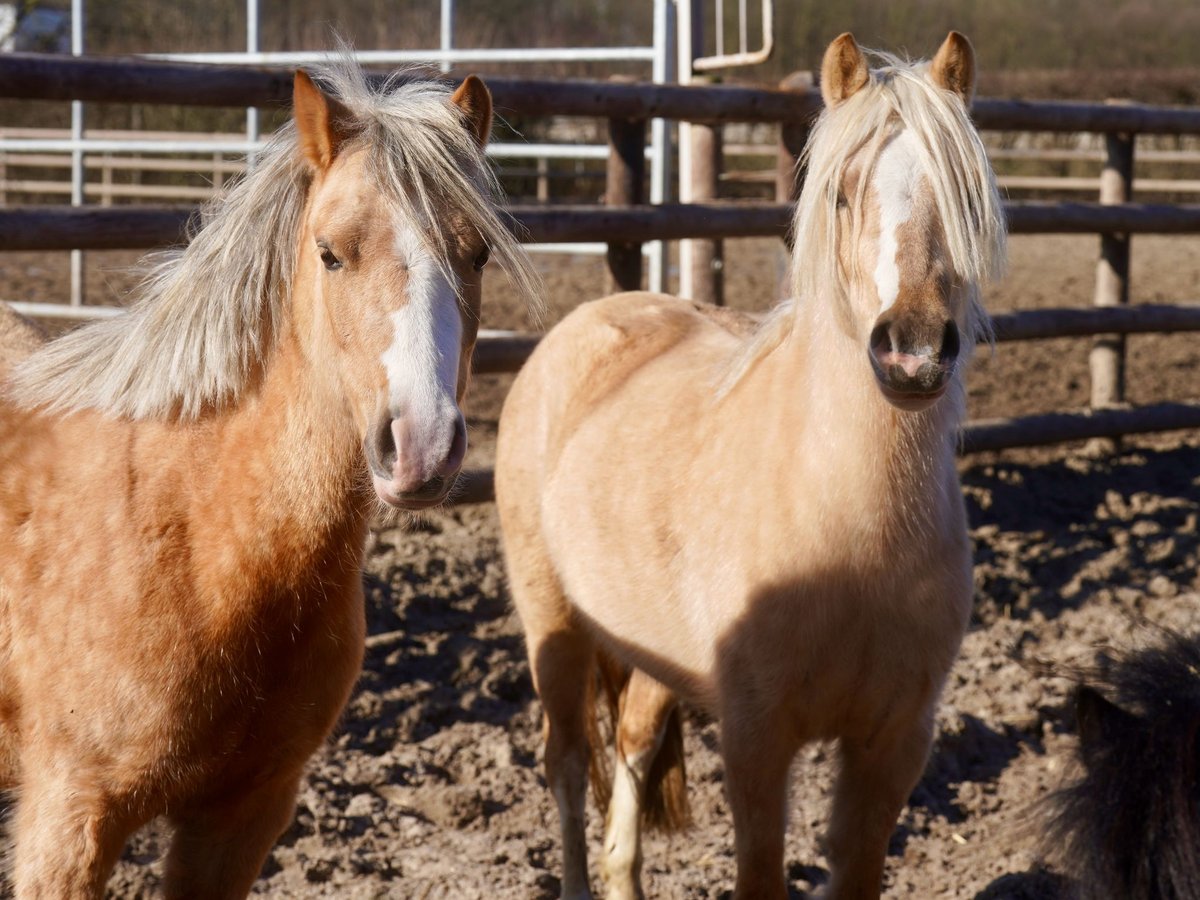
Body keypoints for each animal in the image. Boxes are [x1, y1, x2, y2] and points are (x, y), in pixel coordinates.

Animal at [0, 61, 535, 897]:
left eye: (477, 254)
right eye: (330, 253)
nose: (421, 444)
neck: (195, 533)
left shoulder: (243, 816)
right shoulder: (66, 822)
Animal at [494, 30, 1003, 900]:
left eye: (964, 197)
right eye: (842, 197)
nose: (911, 351)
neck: (848, 525)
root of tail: (582, 325)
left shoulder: (893, 744)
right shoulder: (757, 741)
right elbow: (759, 871)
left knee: (632, 743)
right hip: (552, 625)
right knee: (566, 765)